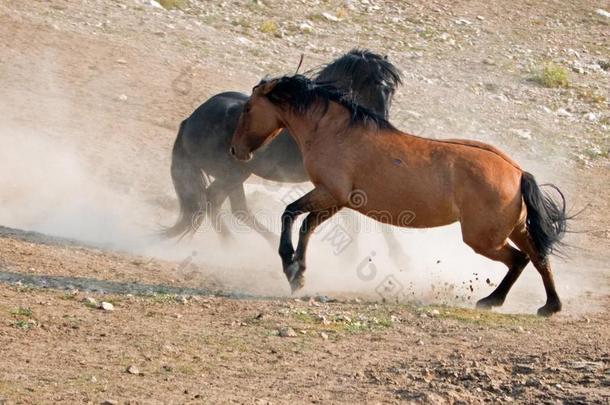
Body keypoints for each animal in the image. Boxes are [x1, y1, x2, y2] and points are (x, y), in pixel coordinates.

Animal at [164, 49, 406, 262]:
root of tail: (189, 121)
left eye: (391, 89)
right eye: (375, 84)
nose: (383, 125)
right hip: (232, 175)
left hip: (235, 177)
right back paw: (238, 244)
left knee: (232, 208)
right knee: (214, 202)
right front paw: (395, 258)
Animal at [228, 75, 564, 316]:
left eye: (248, 108)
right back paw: (549, 306)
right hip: (516, 229)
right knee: (538, 257)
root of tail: (517, 173)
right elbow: (307, 225)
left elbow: (290, 213)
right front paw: (298, 273)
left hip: (483, 239)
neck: (334, 132)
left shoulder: (328, 193)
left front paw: (290, 268)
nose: (235, 150)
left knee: (519, 259)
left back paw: (492, 300)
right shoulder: (337, 200)